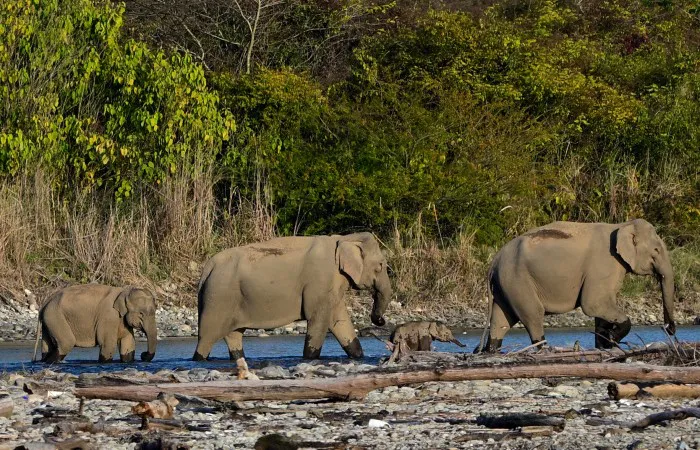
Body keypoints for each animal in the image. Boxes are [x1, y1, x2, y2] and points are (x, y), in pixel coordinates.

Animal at [193, 232, 393, 361]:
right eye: (380, 266)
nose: (380, 320)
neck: (343, 239)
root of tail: (208, 266)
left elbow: (339, 320)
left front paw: (358, 356)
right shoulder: (319, 281)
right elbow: (318, 319)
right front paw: (310, 359)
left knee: (233, 335)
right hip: (218, 298)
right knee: (206, 338)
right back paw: (199, 359)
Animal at [476, 219, 675, 353]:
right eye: (656, 250)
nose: (669, 329)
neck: (621, 225)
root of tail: (494, 261)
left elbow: (600, 309)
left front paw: (604, 345)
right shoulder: (604, 265)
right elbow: (593, 304)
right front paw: (612, 339)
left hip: (506, 284)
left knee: (502, 318)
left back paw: (490, 350)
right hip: (517, 280)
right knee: (532, 314)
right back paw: (545, 350)